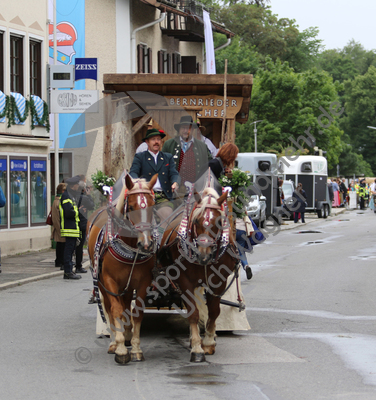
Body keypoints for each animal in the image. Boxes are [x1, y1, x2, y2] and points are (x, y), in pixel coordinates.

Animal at [87, 173, 158, 364]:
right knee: (109, 308)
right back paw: (114, 341)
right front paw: (120, 348)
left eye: (152, 206)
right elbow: (116, 310)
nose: (146, 244)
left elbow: (136, 312)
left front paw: (135, 347)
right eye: (131, 206)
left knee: (126, 305)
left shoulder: (142, 282)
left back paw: (126, 334)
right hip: (102, 283)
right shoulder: (110, 281)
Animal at [158, 188, 239, 362]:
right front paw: (197, 348)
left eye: (219, 222)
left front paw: (208, 342)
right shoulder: (185, 282)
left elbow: (214, 312)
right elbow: (193, 314)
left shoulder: (218, 281)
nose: (203, 254)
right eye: (196, 221)